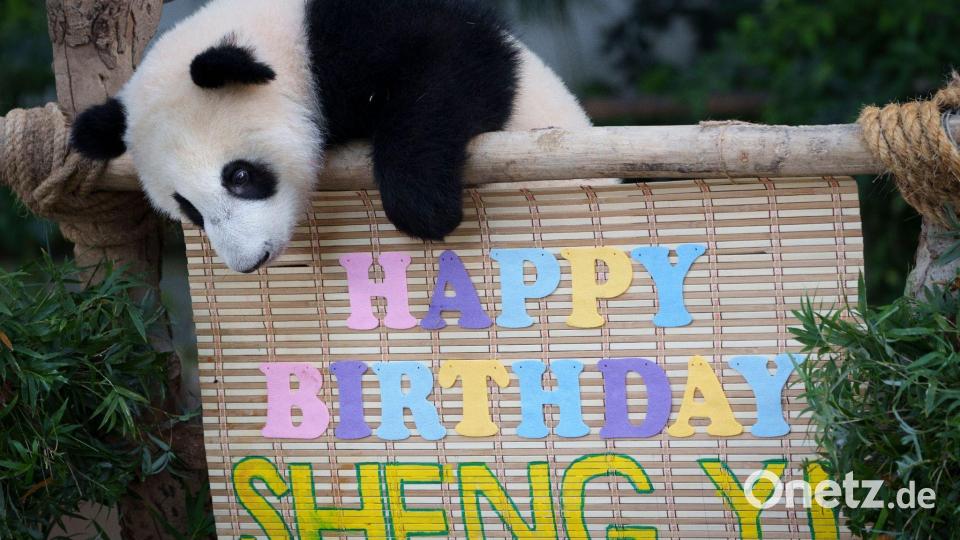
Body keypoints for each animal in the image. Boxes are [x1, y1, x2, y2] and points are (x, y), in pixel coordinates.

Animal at [70, 0, 595, 273]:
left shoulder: (352, 35)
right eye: (188, 210)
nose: (250, 261)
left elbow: (455, 62)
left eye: (239, 176)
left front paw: (425, 206)